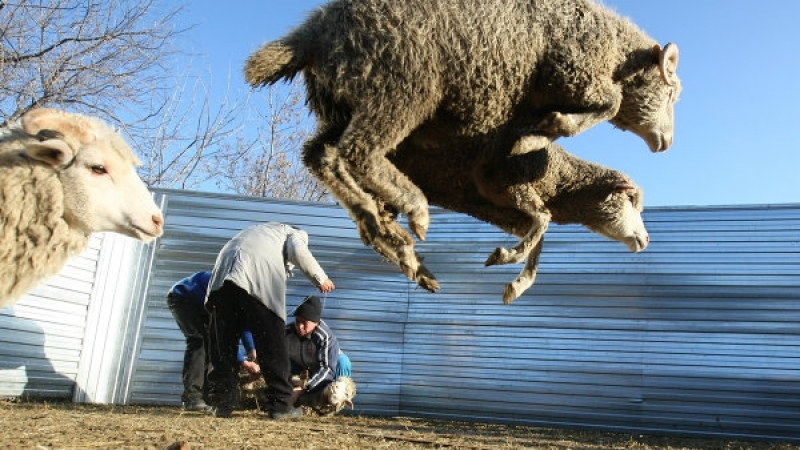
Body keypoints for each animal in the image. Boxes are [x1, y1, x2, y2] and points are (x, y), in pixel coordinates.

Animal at [245, 0, 680, 282]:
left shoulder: (497, 203)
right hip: (403, 82)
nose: (666, 143)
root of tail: (311, 34)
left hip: (346, 103)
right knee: (357, 151)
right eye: (672, 93)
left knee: (322, 157)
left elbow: (539, 231)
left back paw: (390, 237)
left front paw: (517, 276)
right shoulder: (569, 76)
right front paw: (542, 131)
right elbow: (609, 105)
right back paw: (413, 210)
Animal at [382, 132, 648, 304]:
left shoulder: (498, 208)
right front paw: (505, 257)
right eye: (631, 199)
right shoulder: (505, 178)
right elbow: (543, 219)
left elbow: (538, 239)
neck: (561, 182)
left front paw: (518, 285)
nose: (646, 239)